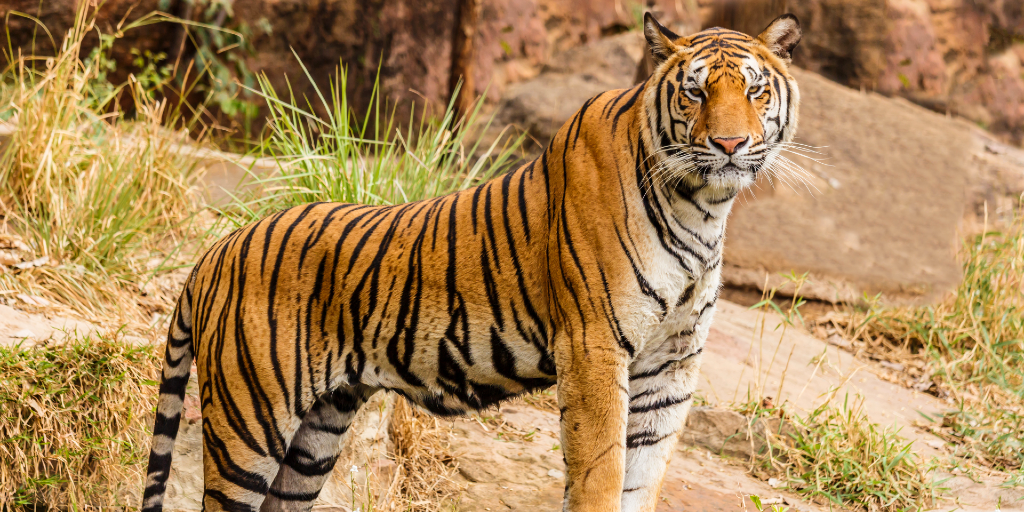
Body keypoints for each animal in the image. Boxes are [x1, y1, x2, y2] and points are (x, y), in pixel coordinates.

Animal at [142, 11, 798, 512]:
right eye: (695, 92)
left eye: (755, 90)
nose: (730, 144)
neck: (702, 208)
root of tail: (215, 251)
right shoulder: (593, 346)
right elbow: (601, 474)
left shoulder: (672, 364)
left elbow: (643, 478)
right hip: (249, 420)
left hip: (316, 434)